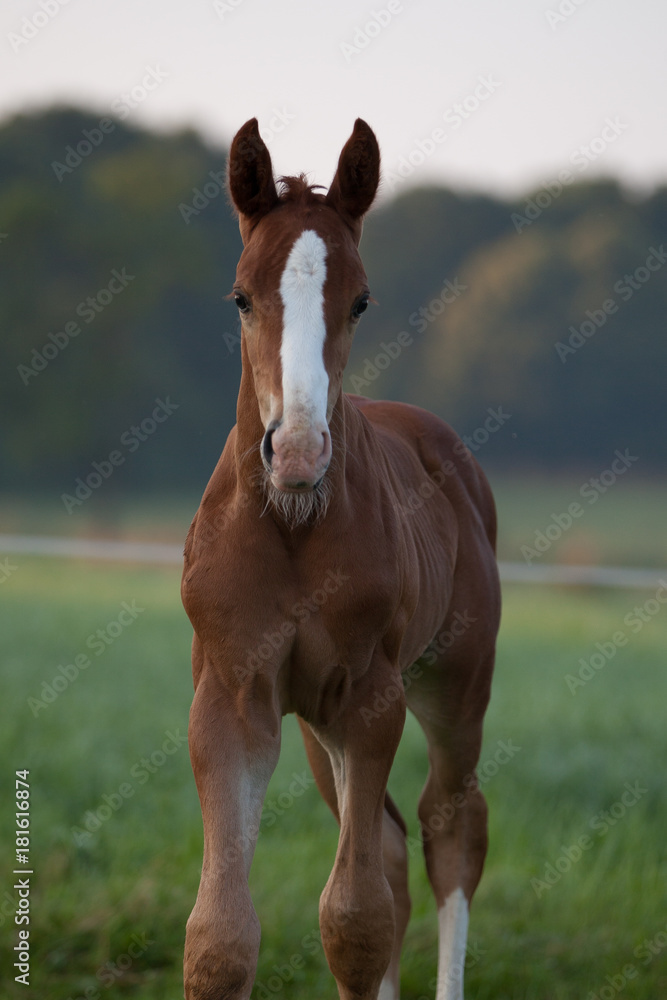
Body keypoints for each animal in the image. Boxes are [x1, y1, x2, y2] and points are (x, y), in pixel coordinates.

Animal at [181, 117, 501, 1000]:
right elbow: (220, 939)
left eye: (359, 299)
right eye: (240, 296)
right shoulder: (232, 695)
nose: (295, 452)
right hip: (317, 725)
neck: (292, 526)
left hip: (454, 681)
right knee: (388, 844)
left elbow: (353, 923)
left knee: (449, 825)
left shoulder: (369, 698)